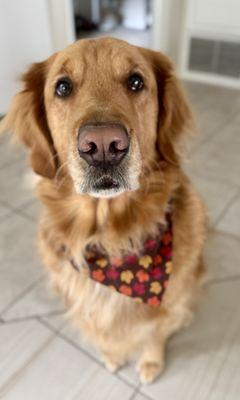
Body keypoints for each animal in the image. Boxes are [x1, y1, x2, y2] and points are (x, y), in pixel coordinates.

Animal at [0, 38, 206, 384]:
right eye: (62, 87)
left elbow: (154, 331)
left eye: (136, 82)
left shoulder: (168, 304)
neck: (111, 239)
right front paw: (112, 356)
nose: (103, 146)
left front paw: (151, 363)